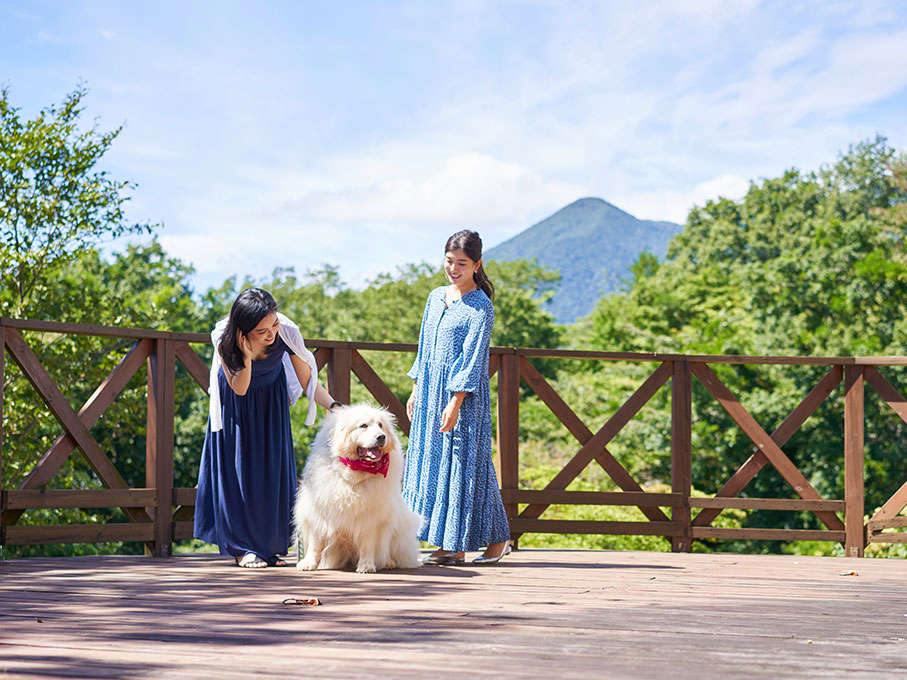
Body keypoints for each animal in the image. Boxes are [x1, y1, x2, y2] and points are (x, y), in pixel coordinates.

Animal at [298, 404, 426, 572]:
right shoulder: (319, 509)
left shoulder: (370, 517)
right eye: (363, 426)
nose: (381, 437)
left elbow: (367, 544)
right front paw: (308, 563)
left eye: (380, 425)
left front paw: (366, 566)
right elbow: (315, 542)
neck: (354, 474)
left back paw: (389, 562)